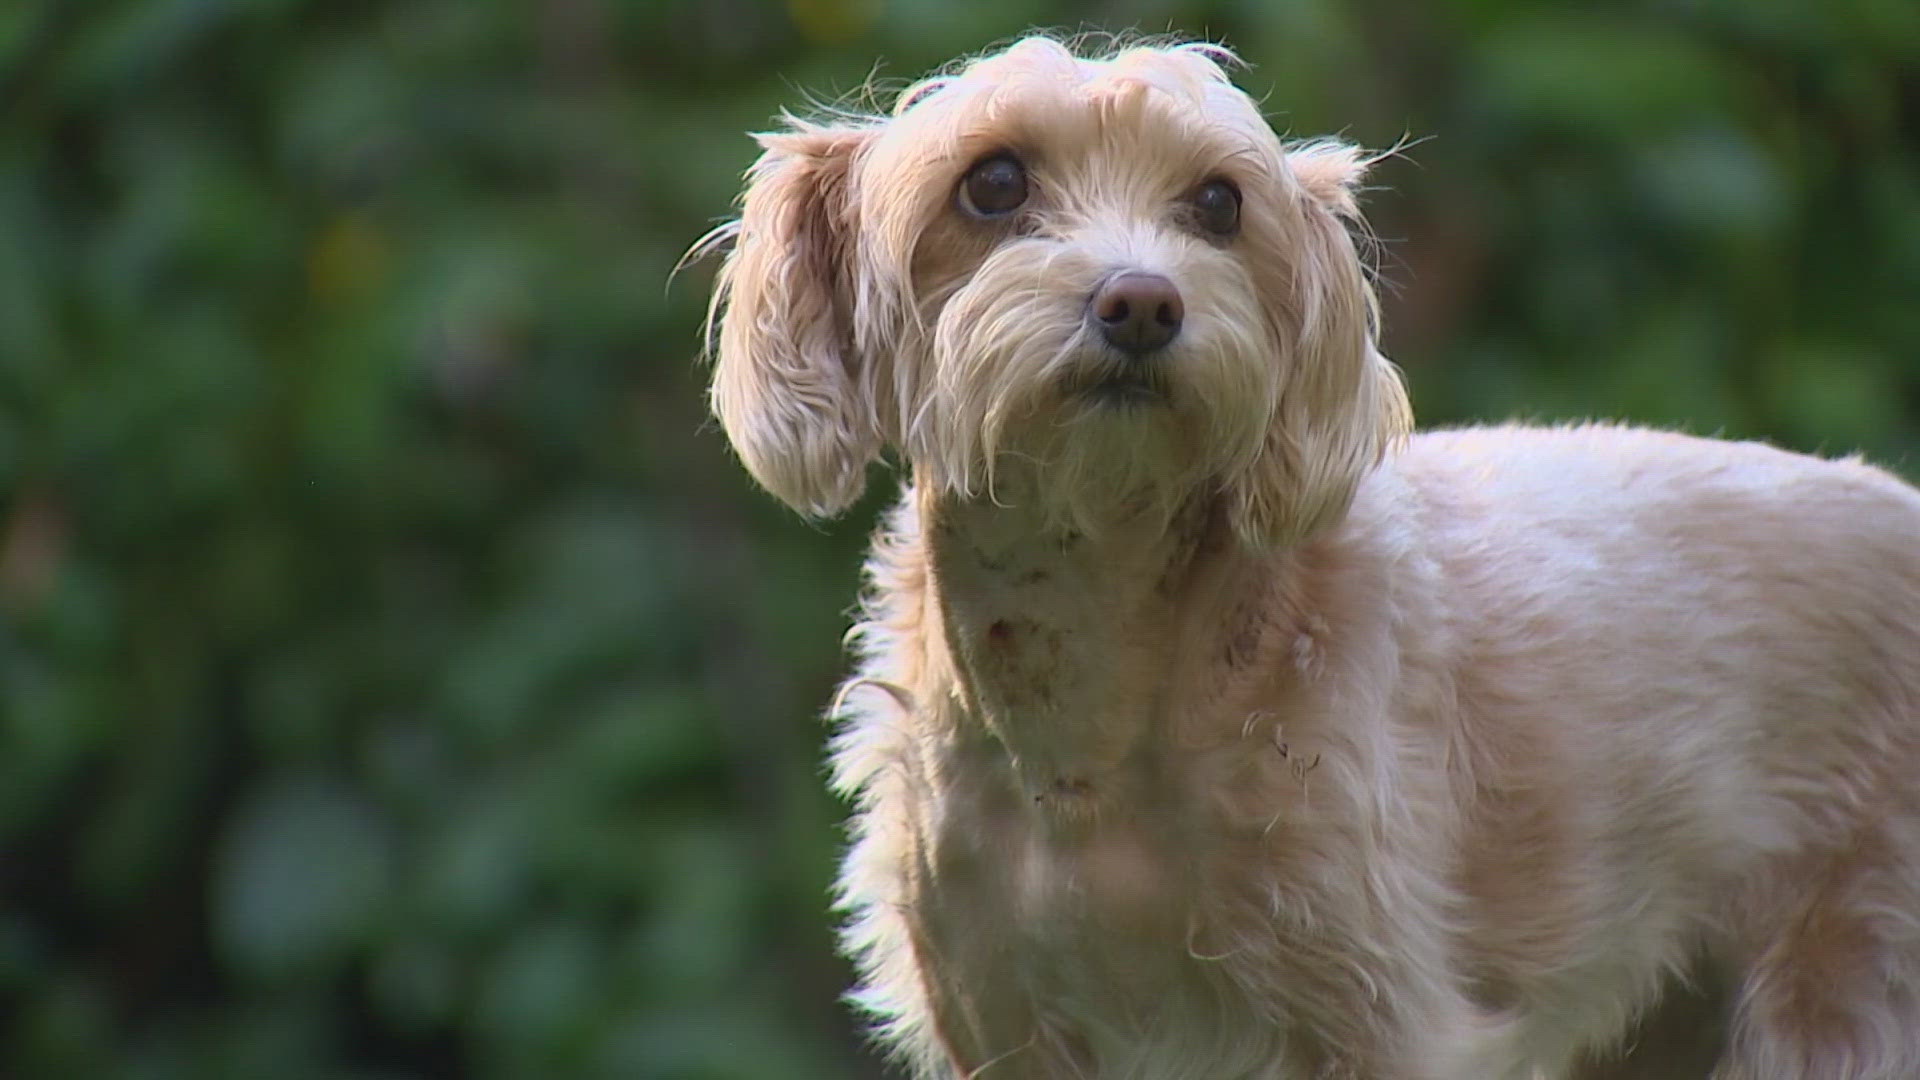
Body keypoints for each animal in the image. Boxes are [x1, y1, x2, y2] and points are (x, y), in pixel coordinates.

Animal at [698, 33, 1920, 1076]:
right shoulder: (1001, 1022)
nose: (1141, 303)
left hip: (1850, 996)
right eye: (992, 184)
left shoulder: (1385, 1020)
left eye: (1218, 202)